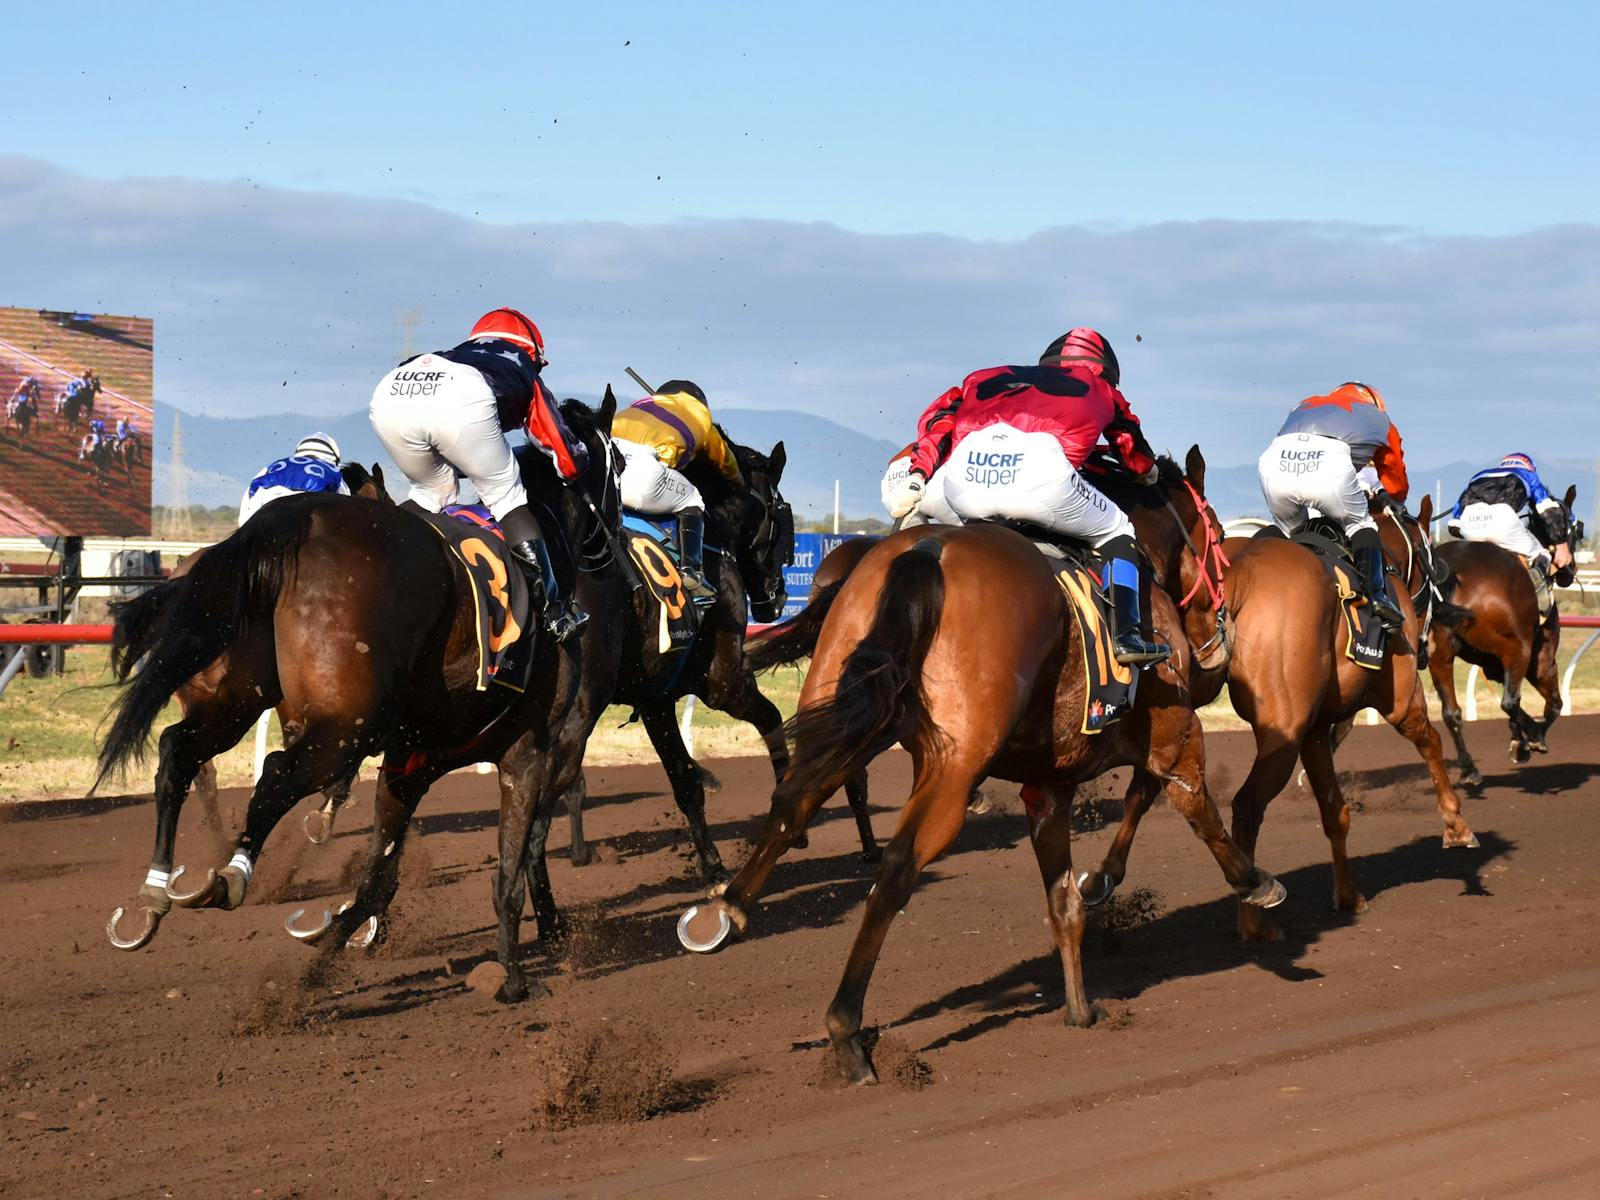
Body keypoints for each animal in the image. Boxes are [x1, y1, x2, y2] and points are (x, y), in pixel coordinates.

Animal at [96, 404, 614, 1004]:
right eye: (616, 465)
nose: (610, 545)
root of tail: (290, 524)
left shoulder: (412, 760)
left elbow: (379, 876)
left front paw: (330, 948)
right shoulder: (526, 749)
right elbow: (504, 869)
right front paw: (511, 975)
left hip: (242, 697)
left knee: (180, 750)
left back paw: (156, 894)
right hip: (345, 724)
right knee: (275, 774)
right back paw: (232, 873)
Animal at [681, 454, 1280, 1088]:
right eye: (1218, 537)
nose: (1220, 637)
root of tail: (927, 550)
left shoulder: (1049, 784)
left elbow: (1064, 900)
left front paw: (1080, 1007)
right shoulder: (1174, 733)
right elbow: (1193, 805)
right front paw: (1254, 882)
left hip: (846, 703)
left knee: (792, 802)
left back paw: (725, 912)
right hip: (954, 762)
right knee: (896, 867)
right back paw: (845, 1029)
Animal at [1433, 483, 1580, 784]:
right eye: (1574, 527)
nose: (1569, 570)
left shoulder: (1491, 663)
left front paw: (1519, 739)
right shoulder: (1541, 659)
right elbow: (1554, 704)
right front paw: (1529, 740)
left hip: (1438, 653)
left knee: (1451, 712)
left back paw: (1470, 768)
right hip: (1518, 648)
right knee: (1510, 701)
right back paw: (1533, 736)